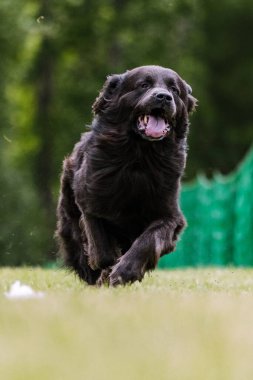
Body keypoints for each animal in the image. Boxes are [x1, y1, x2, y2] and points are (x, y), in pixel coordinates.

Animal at [56, 65, 197, 284]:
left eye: (174, 90)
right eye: (143, 85)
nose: (164, 97)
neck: (139, 157)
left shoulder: (170, 216)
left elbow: (148, 240)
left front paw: (126, 271)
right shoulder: (89, 199)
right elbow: (101, 246)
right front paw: (107, 268)